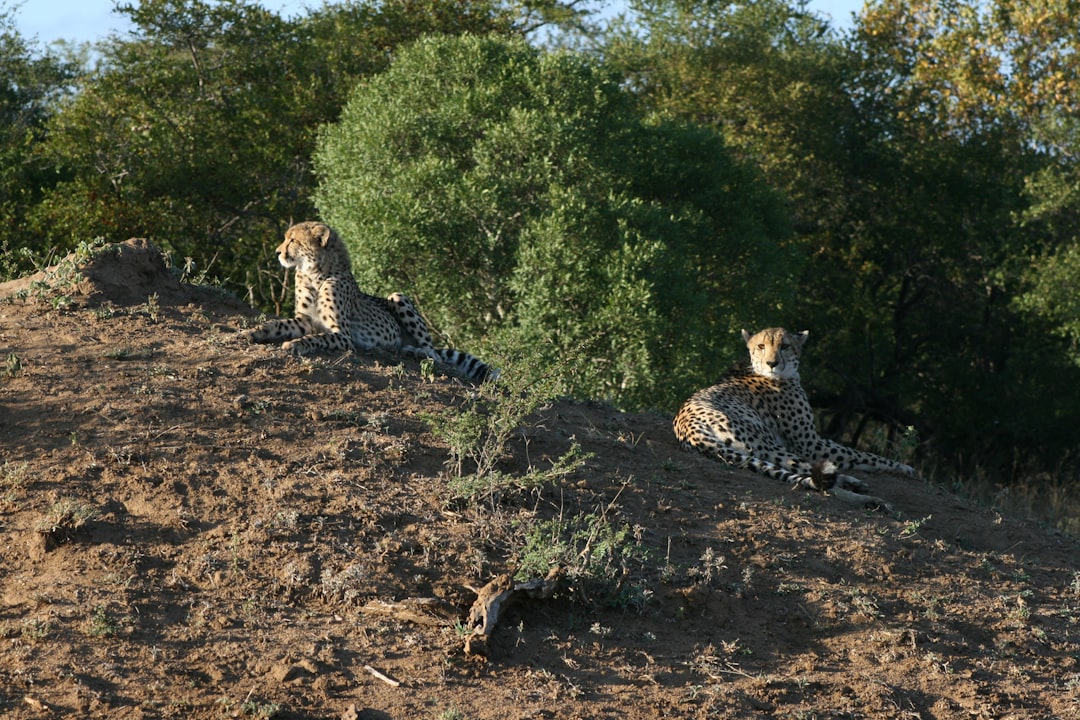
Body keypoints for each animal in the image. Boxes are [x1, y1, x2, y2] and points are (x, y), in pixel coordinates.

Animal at [247, 221, 494, 382]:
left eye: (293, 240)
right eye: (286, 238)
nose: (277, 252)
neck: (314, 272)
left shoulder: (343, 336)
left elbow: (317, 337)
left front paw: (297, 344)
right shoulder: (304, 320)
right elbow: (279, 324)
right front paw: (255, 331)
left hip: (397, 295)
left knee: (434, 354)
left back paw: (416, 352)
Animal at [678, 330, 915, 509]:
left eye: (784, 346)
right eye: (761, 346)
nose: (772, 363)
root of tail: (688, 428)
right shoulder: (811, 444)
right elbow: (864, 455)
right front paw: (904, 467)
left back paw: (852, 483)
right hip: (766, 444)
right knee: (820, 481)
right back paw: (869, 499)